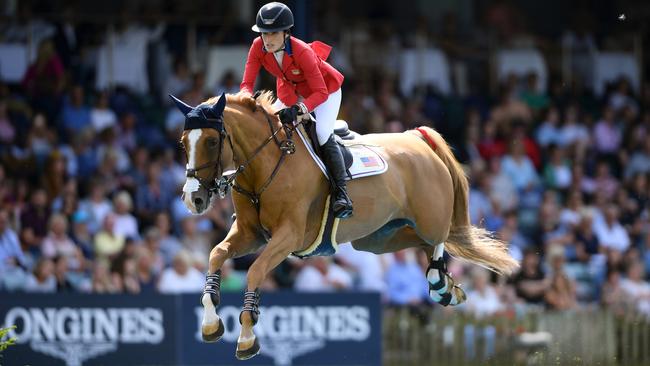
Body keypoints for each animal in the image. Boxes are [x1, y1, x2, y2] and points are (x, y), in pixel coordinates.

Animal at [172, 90, 516, 358]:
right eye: (183, 143)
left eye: (212, 141)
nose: (193, 199)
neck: (265, 166)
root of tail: (416, 138)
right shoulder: (249, 233)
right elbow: (216, 254)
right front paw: (211, 323)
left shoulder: (289, 236)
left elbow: (255, 270)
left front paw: (246, 338)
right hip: (378, 239)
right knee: (422, 243)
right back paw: (446, 287)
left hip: (428, 219)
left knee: (440, 236)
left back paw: (439, 283)